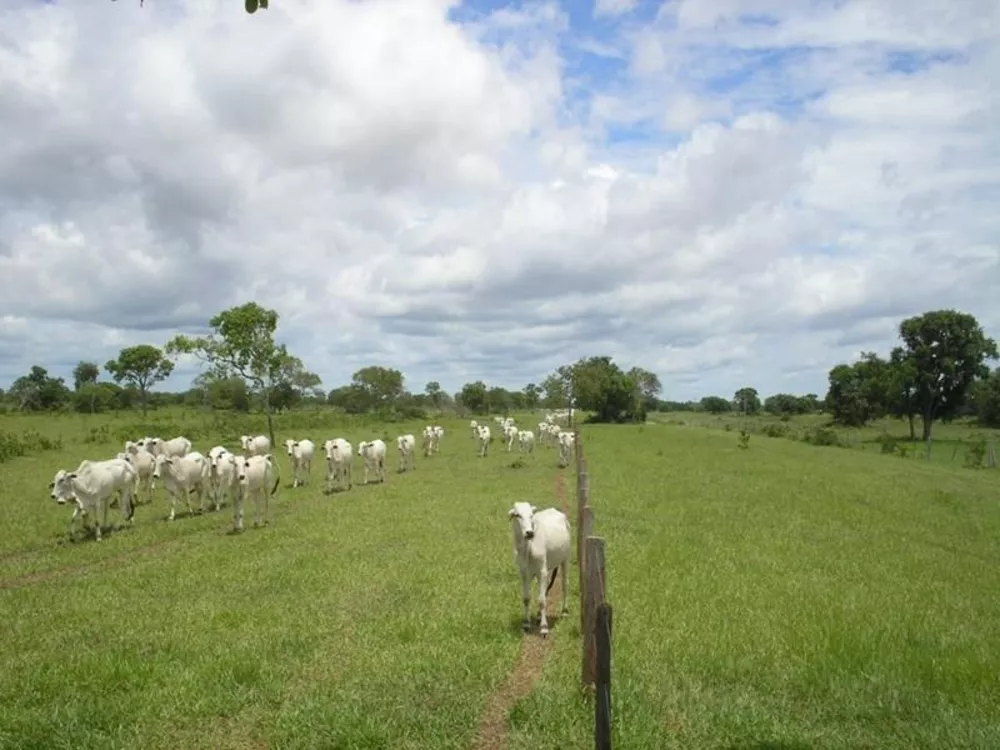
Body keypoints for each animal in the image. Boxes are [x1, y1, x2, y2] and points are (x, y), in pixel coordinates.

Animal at [508, 502, 572, 636]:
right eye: (517, 515)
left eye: (531, 515)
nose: (529, 533)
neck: (528, 549)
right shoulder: (524, 573)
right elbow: (526, 598)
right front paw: (526, 624)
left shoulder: (542, 572)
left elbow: (542, 601)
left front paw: (544, 627)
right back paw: (538, 615)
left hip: (565, 559)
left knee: (565, 584)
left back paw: (564, 611)